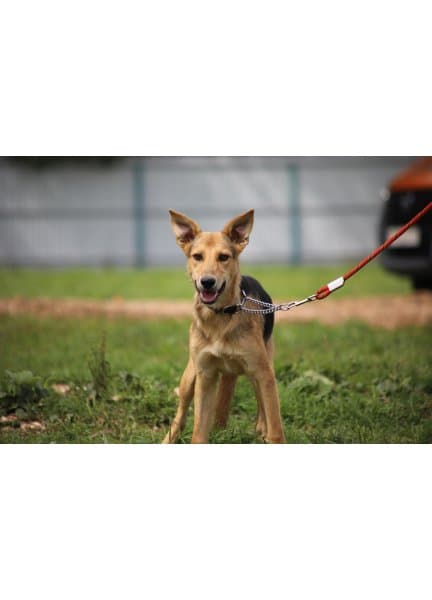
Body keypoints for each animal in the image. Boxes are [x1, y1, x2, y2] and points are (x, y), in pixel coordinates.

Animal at [162, 209, 285, 444]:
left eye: (224, 257)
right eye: (197, 257)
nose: (207, 282)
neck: (220, 316)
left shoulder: (264, 374)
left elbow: (275, 428)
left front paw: (269, 433)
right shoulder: (206, 375)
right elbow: (198, 433)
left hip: (261, 368)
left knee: (261, 403)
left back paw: (260, 428)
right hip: (190, 376)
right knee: (180, 415)